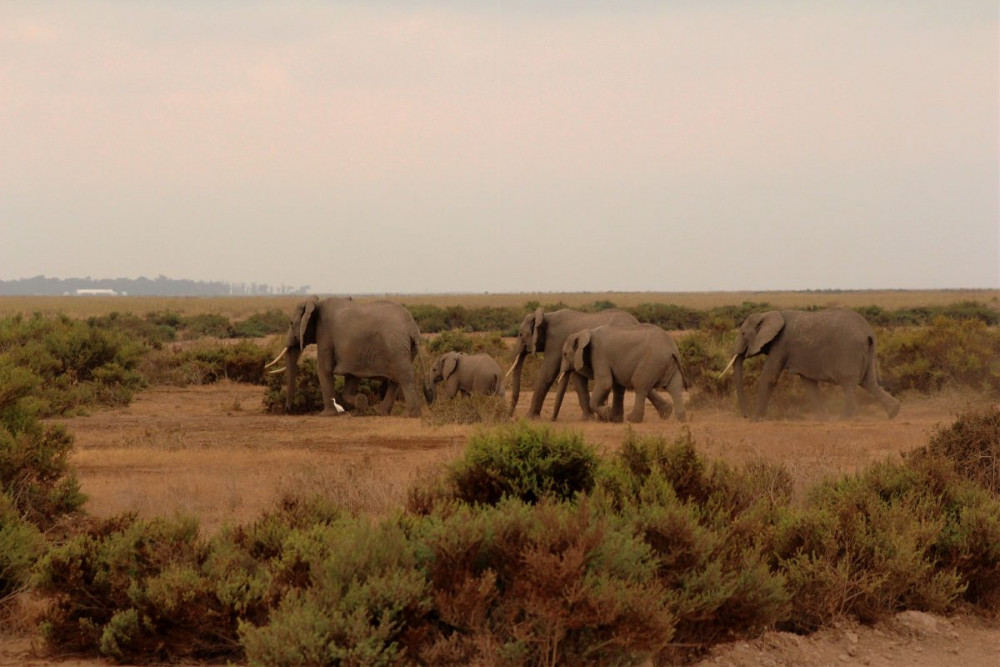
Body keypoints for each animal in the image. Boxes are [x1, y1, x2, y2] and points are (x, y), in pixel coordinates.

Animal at [266, 298, 422, 418]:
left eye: (291, 324)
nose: (288, 410)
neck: (316, 304)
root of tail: (412, 327)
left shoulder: (325, 334)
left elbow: (324, 368)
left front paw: (326, 415)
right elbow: (352, 377)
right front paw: (361, 402)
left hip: (396, 346)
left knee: (404, 376)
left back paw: (411, 415)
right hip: (404, 348)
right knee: (396, 380)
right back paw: (380, 411)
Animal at [508, 306, 640, 418]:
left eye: (520, 334)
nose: (511, 416)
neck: (546, 316)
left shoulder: (555, 342)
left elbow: (547, 373)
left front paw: (529, 417)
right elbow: (578, 378)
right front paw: (588, 418)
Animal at [724, 306, 904, 418]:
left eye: (743, 333)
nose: (745, 416)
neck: (768, 314)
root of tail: (869, 332)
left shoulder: (781, 345)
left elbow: (769, 376)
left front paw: (756, 419)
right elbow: (809, 384)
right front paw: (824, 419)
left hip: (849, 352)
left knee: (849, 383)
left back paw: (845, 419)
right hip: (868, 352)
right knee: (869, 382)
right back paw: (894, 411)